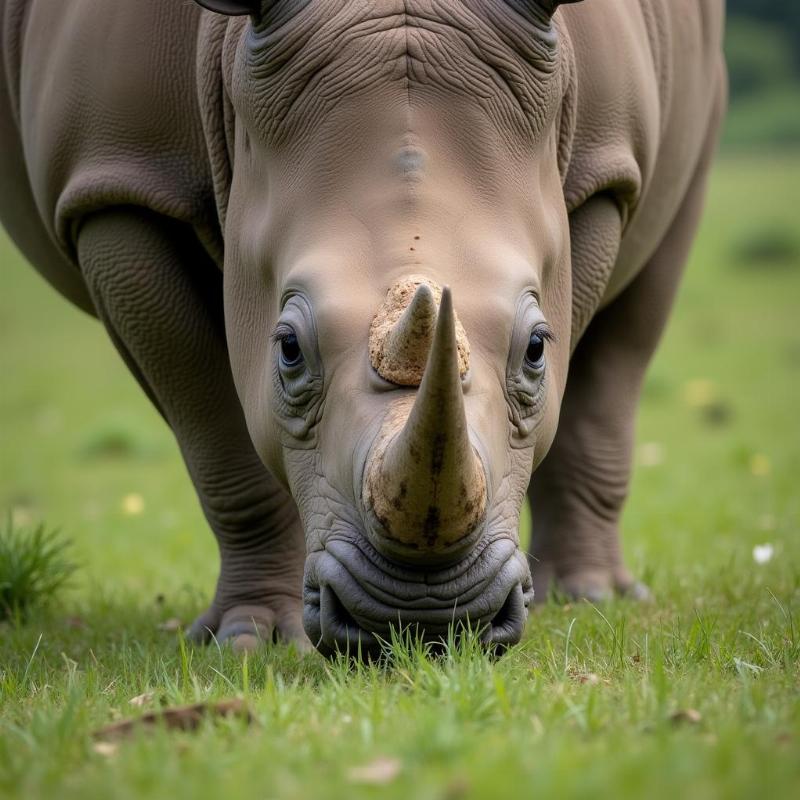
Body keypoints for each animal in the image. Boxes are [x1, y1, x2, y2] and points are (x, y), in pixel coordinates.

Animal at [0, 0, 724, 656]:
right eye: (288, 349)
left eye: (537, 349)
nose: (423, 622)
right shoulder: (114, 183)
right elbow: (217, 432)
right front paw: (254, 638)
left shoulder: (601, 170)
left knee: (634, 326)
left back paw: (590, 596)